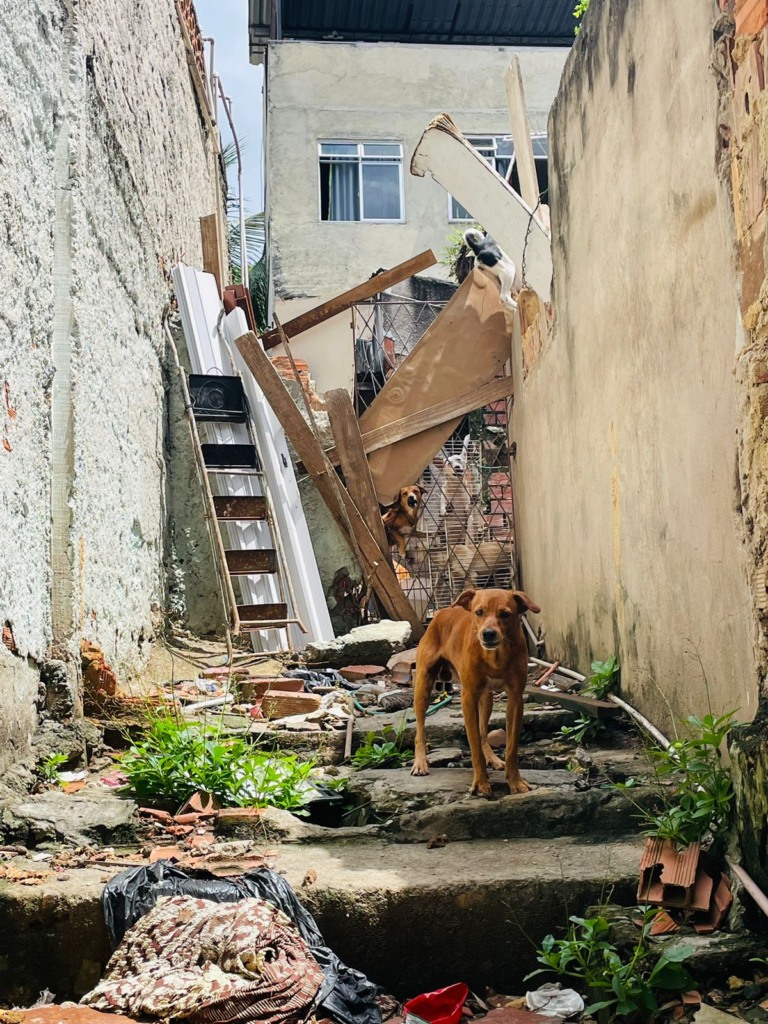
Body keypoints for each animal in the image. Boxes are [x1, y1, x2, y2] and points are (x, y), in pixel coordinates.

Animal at [415, 589, 540, 794]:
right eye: (479, 612)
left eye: (505, 614)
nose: (488, 634)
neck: (495, 656)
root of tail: (440, 612)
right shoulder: (468, 698)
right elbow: (474, 746)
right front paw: (481, 783)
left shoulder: (515, 699)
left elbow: (511, 747)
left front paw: (515, 781)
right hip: (422, 686)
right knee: (420, 729)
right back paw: (420, 762)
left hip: (486, 699)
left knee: (483, 733)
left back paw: (493, 758)